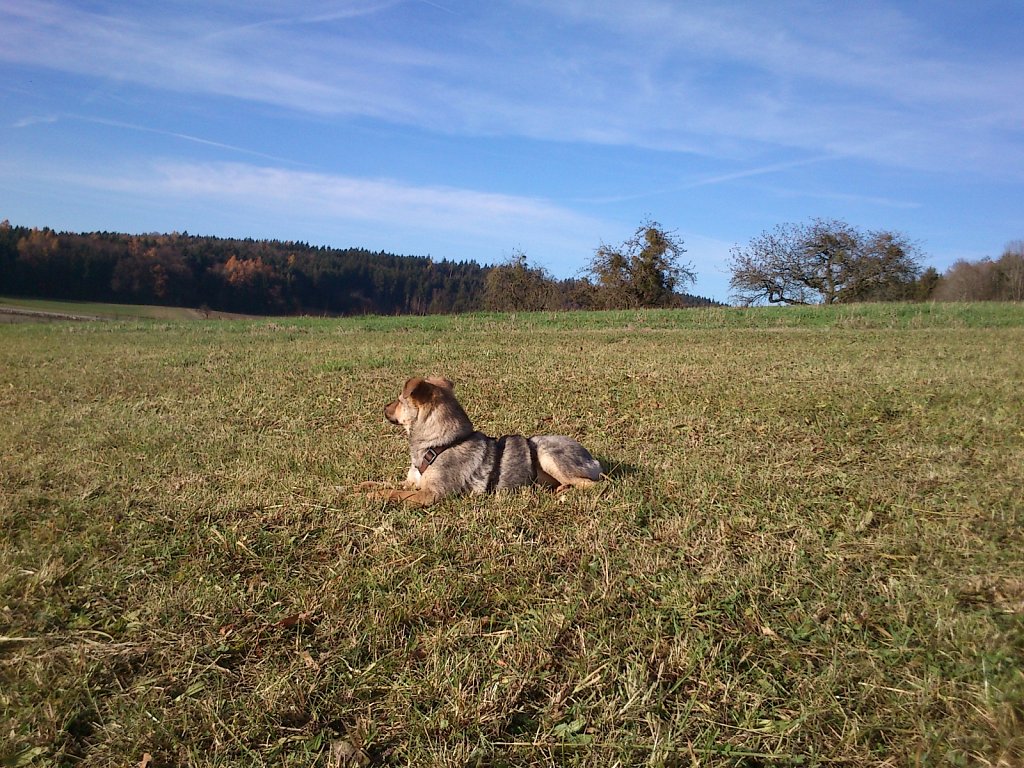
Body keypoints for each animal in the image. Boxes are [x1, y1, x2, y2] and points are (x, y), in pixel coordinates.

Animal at [360, 376, 598, 507]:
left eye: (399, 400)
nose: (384, 407)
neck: (440, 443)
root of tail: (592, 459)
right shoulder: (412, 483)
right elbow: (385, 483)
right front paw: (363, 486)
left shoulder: (430, 495)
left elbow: (393, 492)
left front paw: (372, 496)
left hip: (546, 453)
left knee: (591, 484)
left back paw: (563, 491)